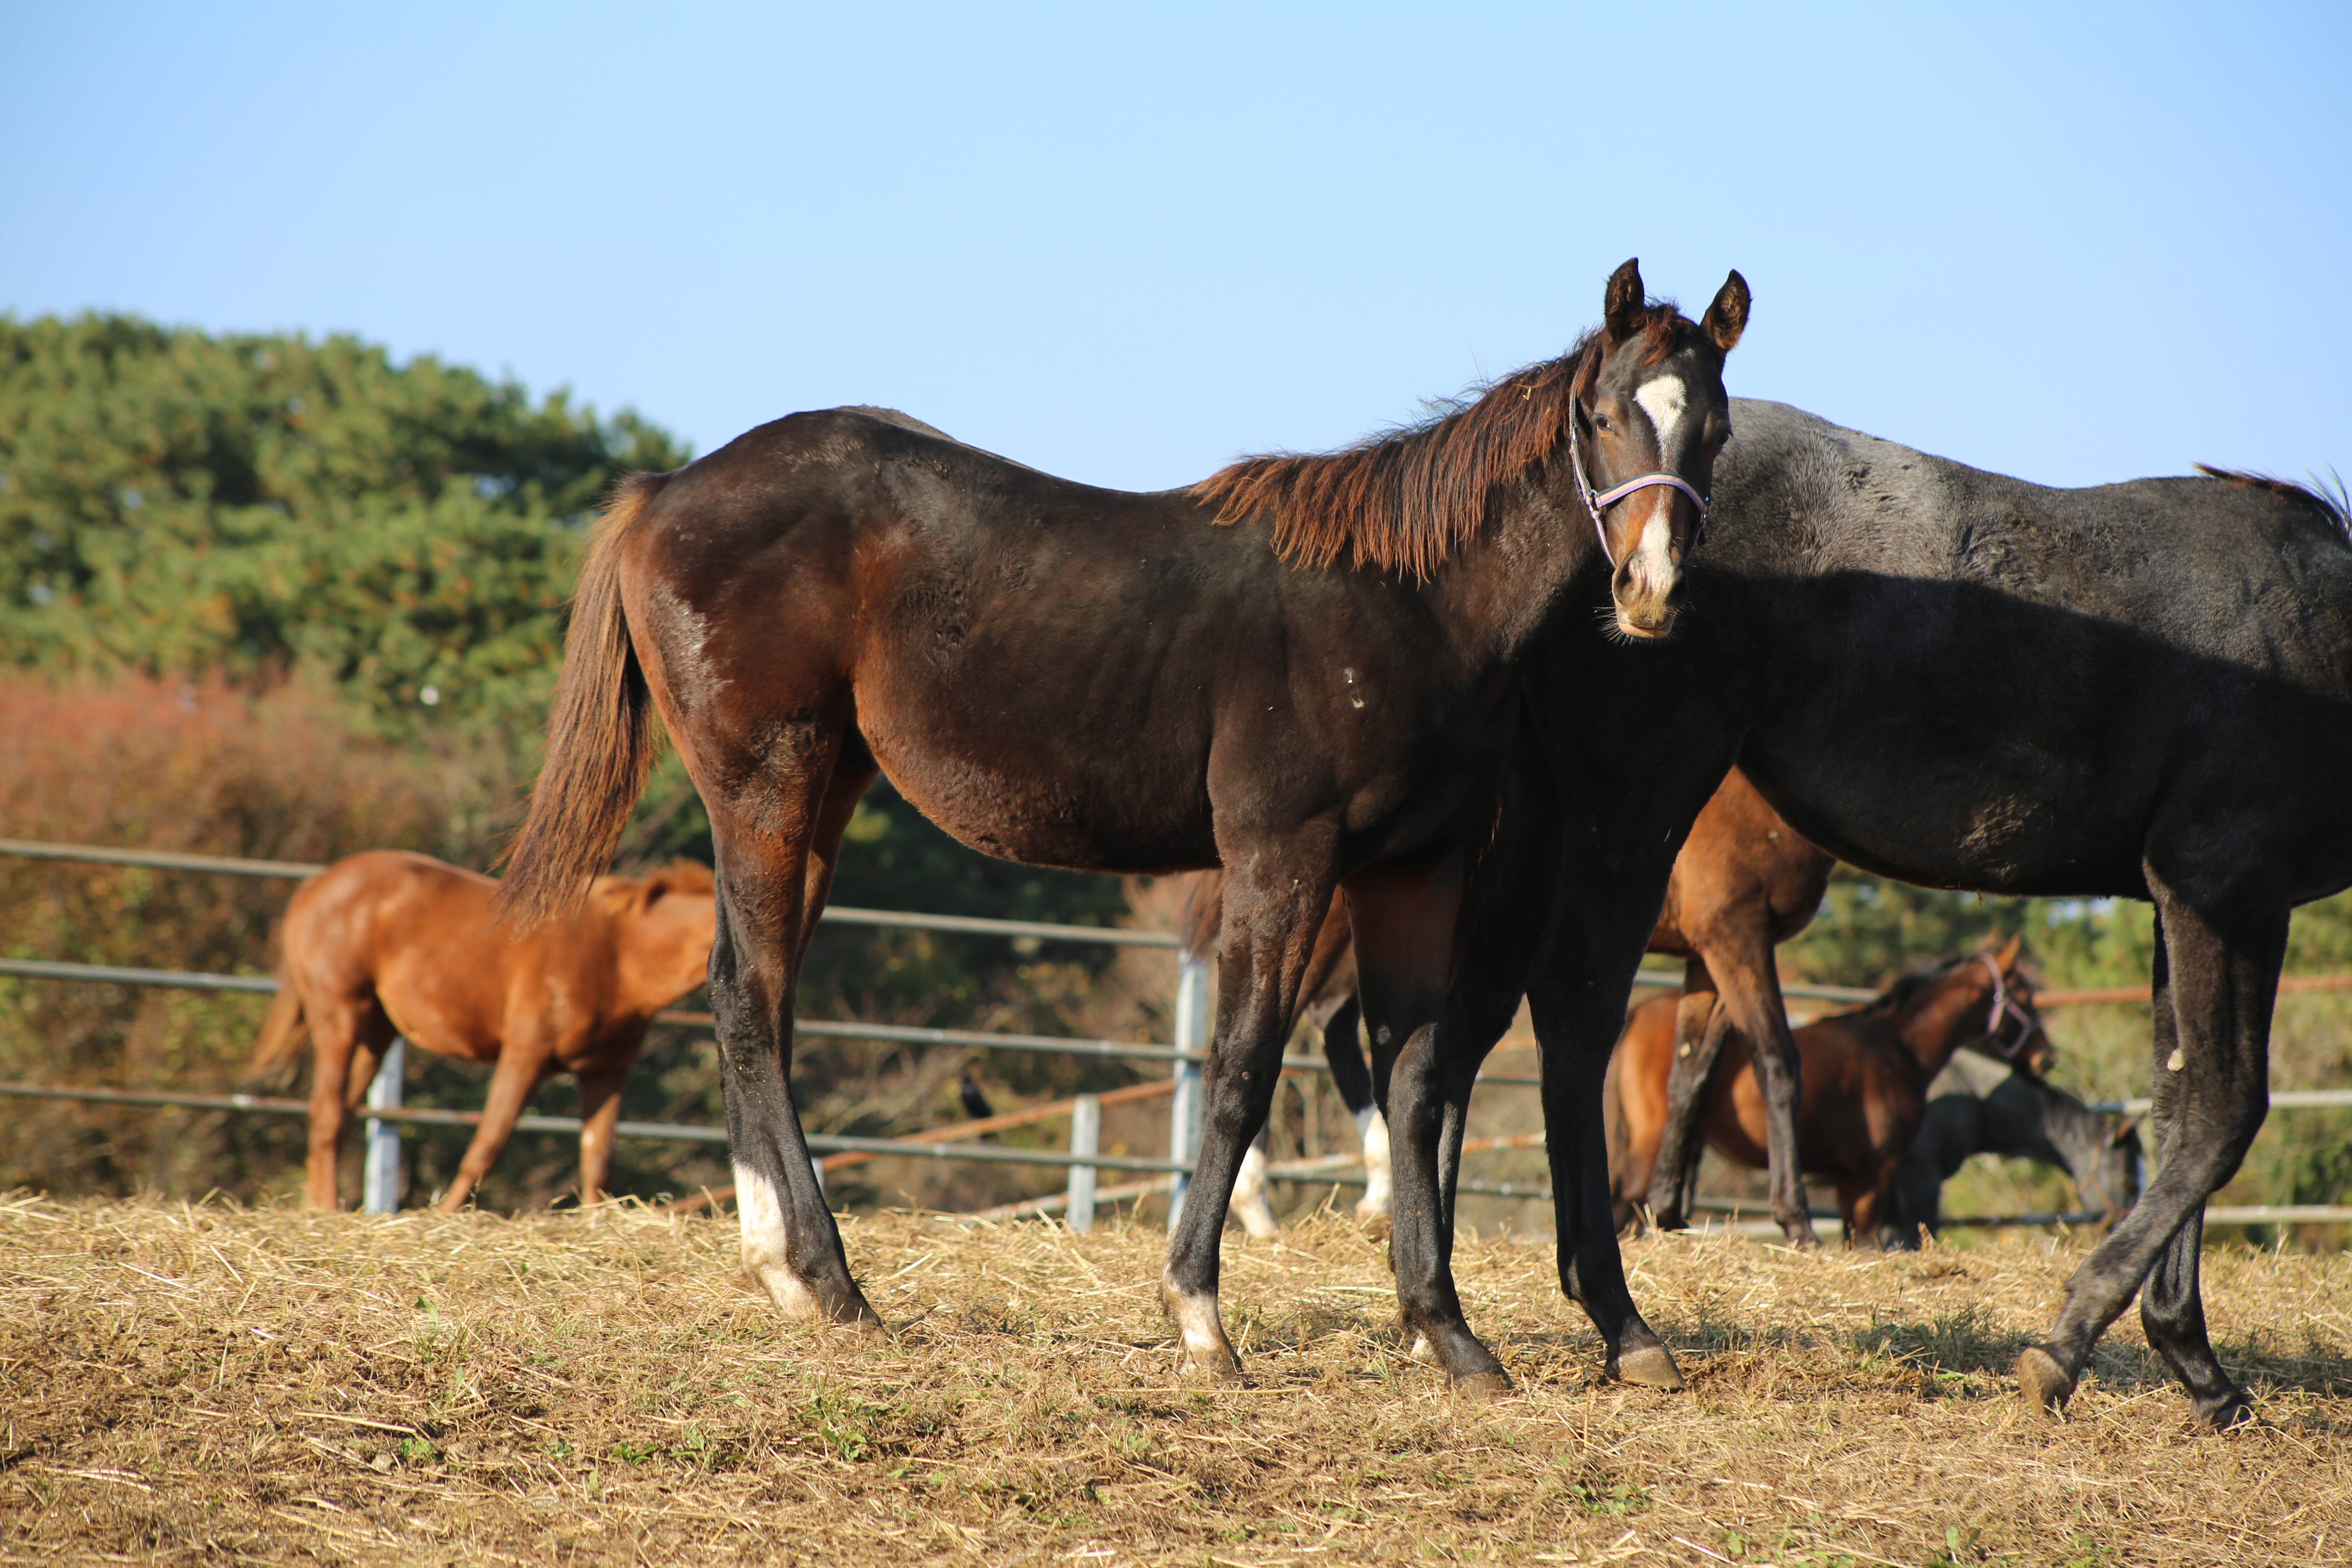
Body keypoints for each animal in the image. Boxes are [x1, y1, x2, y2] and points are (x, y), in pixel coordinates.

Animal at [250, 860, 715, 1213]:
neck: (619, 954)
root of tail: (319, 882)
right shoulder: (524, 1056)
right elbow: (487, 1146)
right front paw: (444, 1216)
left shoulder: (607, 1070)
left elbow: (598, 1159)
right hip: (339, 1019)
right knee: (326, 1113)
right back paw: (327, 1209)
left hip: (376, 1036)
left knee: (340, 1116)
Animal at [496, 261, 1750, 1401]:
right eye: (1602, 415)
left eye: (1717, 429)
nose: (1650, 591)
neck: (1406, 610)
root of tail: (666, 490)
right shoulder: (1281, 858)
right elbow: (1241, 1065)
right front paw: (1199, 1317)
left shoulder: (1413, 872)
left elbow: (1415, 1076)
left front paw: (1447, 1335)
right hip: (768, 788)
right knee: (754, 997)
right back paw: (831, 1282)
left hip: (819, 798)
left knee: (749, 991)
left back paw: (785, 1269)